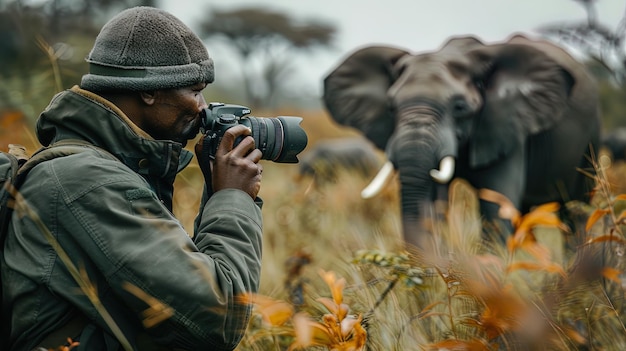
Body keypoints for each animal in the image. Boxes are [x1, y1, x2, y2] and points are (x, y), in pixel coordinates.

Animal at [322, 34, 600, 252]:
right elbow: (433, 204)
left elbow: (495, 211)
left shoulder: (505, 127)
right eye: (391, 107)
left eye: (459, 107)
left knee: (576, 213)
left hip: (591, 141)